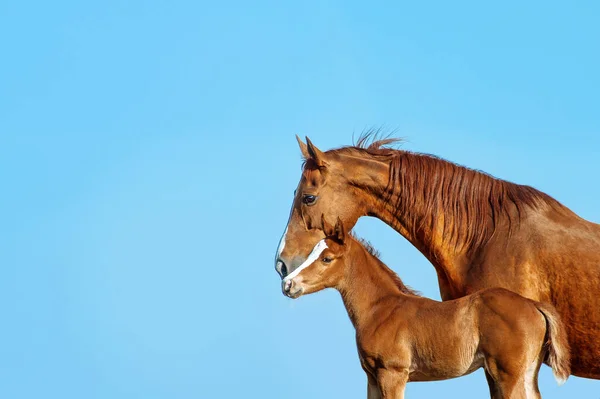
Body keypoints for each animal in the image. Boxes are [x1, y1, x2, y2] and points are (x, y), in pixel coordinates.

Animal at [282, 217, 572, 398]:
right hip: (527, 373)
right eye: (313, 251)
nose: (288, 284)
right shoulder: (372, 377)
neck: (380, 308)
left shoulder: (392, 374)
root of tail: (533, 305)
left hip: (507, 374)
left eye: (327, 258)